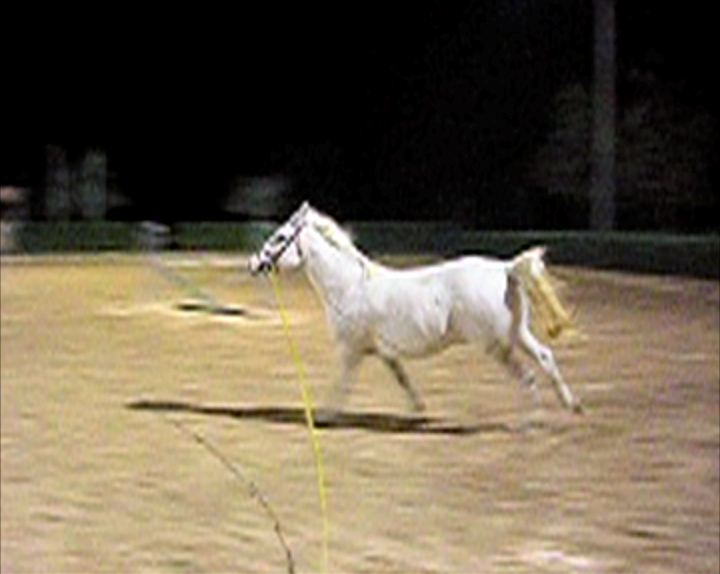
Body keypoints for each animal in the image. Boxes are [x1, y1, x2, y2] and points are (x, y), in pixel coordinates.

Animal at [249, 202, 583, 421]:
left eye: (280, 238)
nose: (253, 263)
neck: (349, 286)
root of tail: (506, 268)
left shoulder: (352, 348)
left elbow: (342, 381)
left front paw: (325, 415)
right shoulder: (383, 352)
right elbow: (402, 379)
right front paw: (419, 409)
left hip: (496, 343)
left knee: (527, 374)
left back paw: (533, 420)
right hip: (516, 333)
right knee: (544, 358)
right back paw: (570, 406)